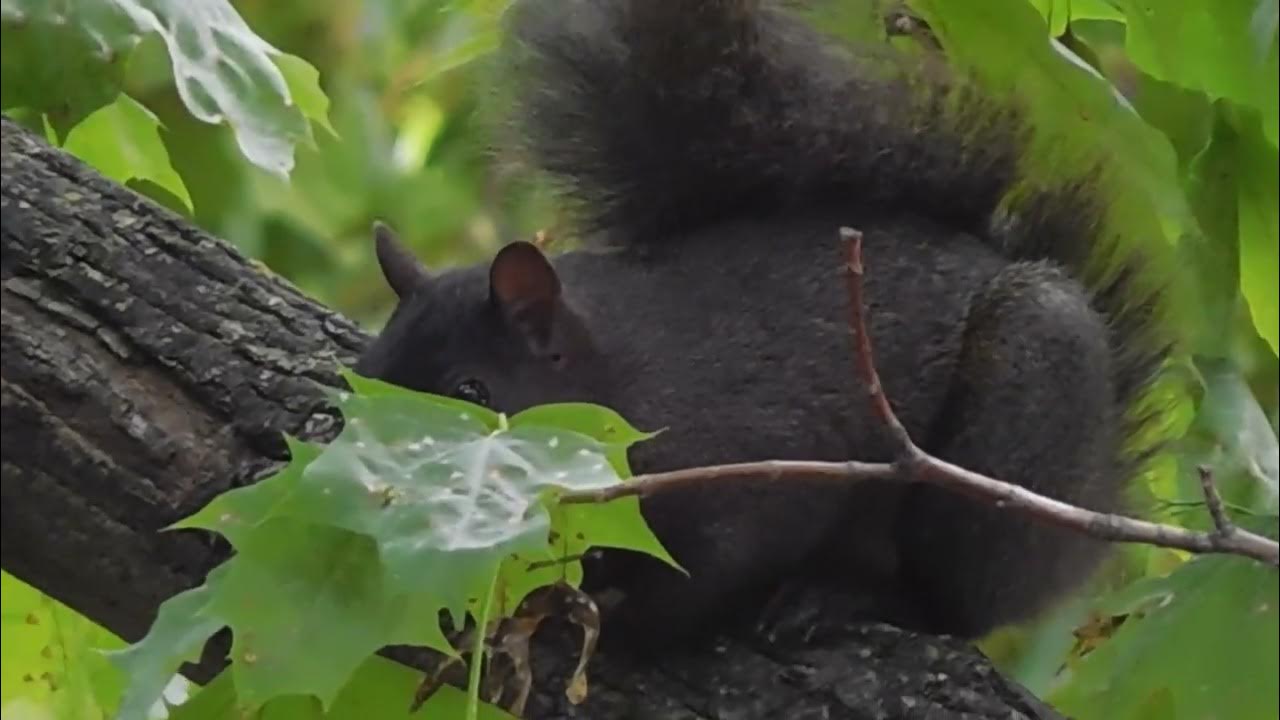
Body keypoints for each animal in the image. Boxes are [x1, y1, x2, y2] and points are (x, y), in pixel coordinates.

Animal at [355, 0, 1172, 648]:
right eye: (363, 378)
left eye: (473, 389)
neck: (619, 375)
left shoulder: (750, 473)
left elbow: (699, 584)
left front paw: (613, 622)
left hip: (1014, 431)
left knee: (958, 600)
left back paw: (846, 598)